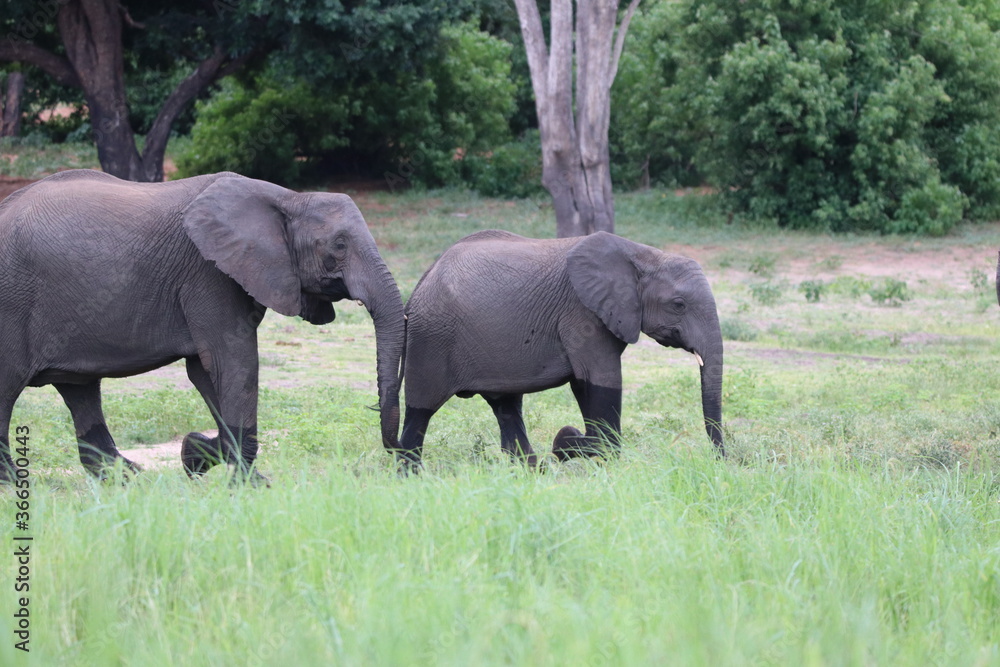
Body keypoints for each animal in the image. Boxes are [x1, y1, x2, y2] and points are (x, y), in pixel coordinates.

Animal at [0, 169, 404, 482]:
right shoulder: (208, 273)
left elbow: (207, 372)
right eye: (339, 246)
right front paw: (244, 484)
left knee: (80, 390)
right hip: (12, 303)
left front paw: (196, 456)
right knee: (10, 388)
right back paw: (13, 484)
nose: (396, 453)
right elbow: (233, 361)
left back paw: (128, 479)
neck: (287, 198)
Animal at [396, 230, 724, 470]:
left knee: (506, 408)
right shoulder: (583, 314)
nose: (720, 461)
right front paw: (572, 443)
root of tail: (420, 284)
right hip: (431, 339)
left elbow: (585, 384)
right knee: (420, 413)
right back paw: (410, 477)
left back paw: (532, 471)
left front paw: (579, 449)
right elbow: (602, 381)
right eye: (679, 305)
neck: (644, 255)